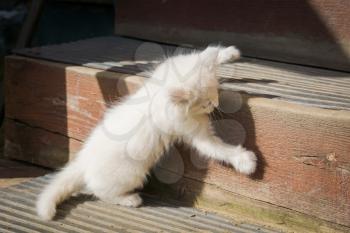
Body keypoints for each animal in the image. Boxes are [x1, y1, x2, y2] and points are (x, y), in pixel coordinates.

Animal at [36, 45, 258, 220]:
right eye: (205, 103)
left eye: (216, 92)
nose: (216, 104)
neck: (160, 95)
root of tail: (83, 161)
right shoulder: (196, 134)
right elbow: (219, 149)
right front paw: (246, 162)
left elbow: (208, 52)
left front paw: (230, 53)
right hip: (129, 175)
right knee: (99, 191)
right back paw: (129, 200)